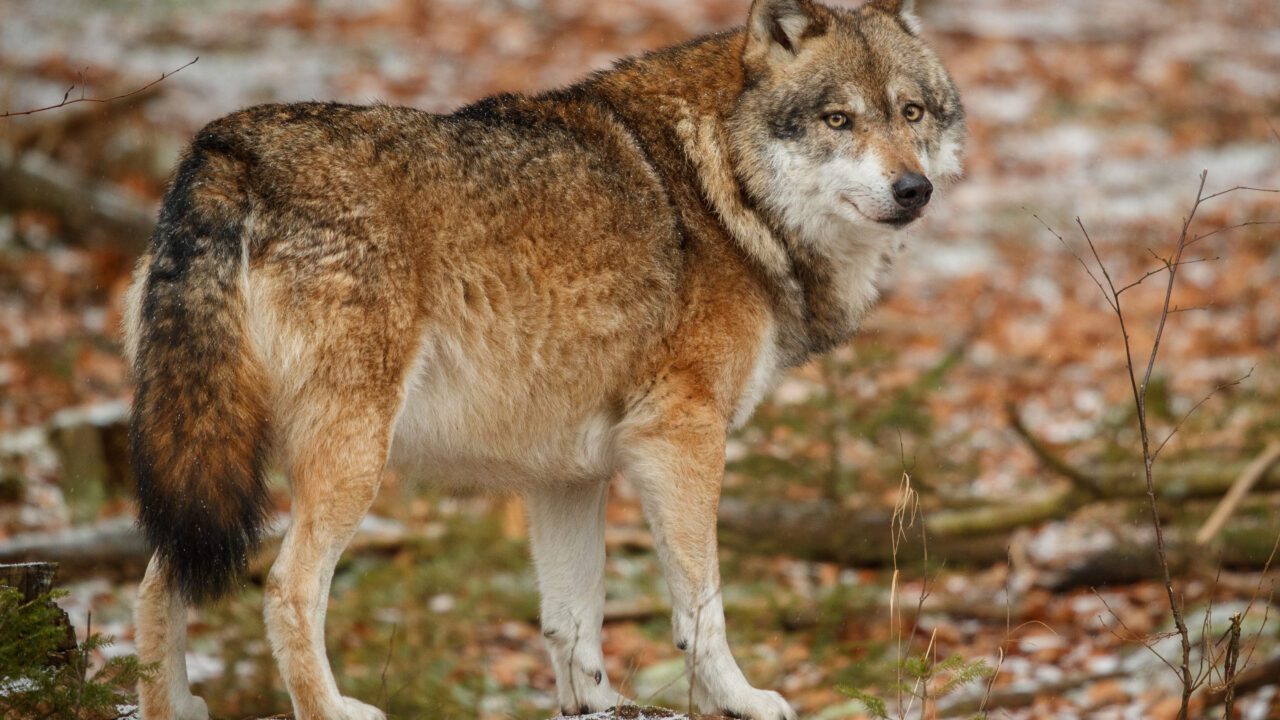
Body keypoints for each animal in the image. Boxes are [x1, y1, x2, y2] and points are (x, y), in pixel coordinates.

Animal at [125, 0, 963, 718]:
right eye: (838, 119)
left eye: (911, 112)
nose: (913, 189)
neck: (725, 184)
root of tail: (225, 148)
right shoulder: (681, 438)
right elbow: (702, 607)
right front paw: (742, 699)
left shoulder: (566, 475)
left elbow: (572, 617)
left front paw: (594, 703)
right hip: (346, 456)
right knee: (283, 589)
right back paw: (332, 708)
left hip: (213, 448)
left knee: (158, 578)